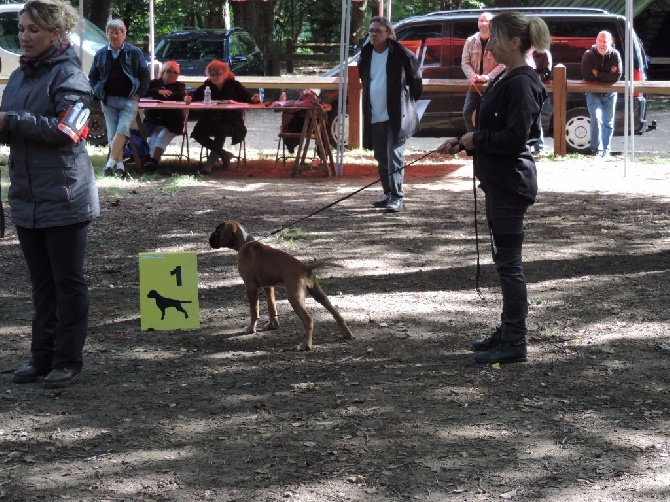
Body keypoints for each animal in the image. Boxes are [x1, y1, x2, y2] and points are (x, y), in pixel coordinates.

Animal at [209, 222, 356, 352]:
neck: (245, 242)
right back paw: (347, 334)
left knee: (308, 320)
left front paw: (251, 329)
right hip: (318, 294)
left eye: (217, 232)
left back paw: (305, 345)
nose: (209, 239)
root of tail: (304, 266)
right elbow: (271, 306)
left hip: (294, 297)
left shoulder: (250, 286)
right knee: (336, 314)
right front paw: (272, 325)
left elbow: (254, 311)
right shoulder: (269, 287)